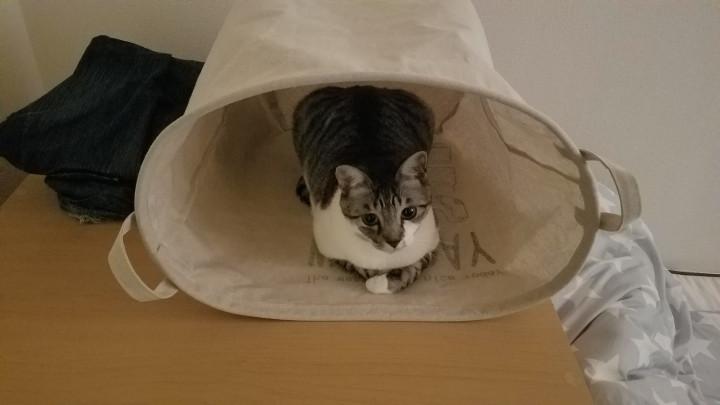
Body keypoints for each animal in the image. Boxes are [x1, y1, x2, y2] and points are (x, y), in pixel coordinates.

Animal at [292, 85, 439, 293]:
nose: (394, 241)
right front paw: (374, 277)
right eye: (369, 218)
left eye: (409, 212)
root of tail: (360, 88)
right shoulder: (328, 245)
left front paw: (387, 281)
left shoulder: (430, 243)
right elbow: (355, 266)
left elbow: (413, 268)